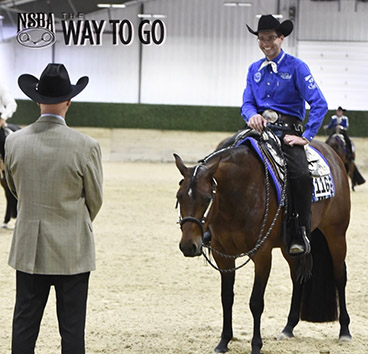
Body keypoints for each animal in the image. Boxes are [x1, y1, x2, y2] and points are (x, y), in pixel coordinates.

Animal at [174, 138, 352, 354]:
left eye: (207, 198)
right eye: (179, 196)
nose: (188, 246)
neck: (238, 195)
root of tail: (332, 153)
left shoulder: (262, 255)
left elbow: (256, 302)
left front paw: (256, 345)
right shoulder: (223, 256)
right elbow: (227, 298)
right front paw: (224, 341)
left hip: (336, 235)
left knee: (339, 277)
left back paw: (344, 330)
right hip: (290, 246)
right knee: (297, 277)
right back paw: (288, 327)